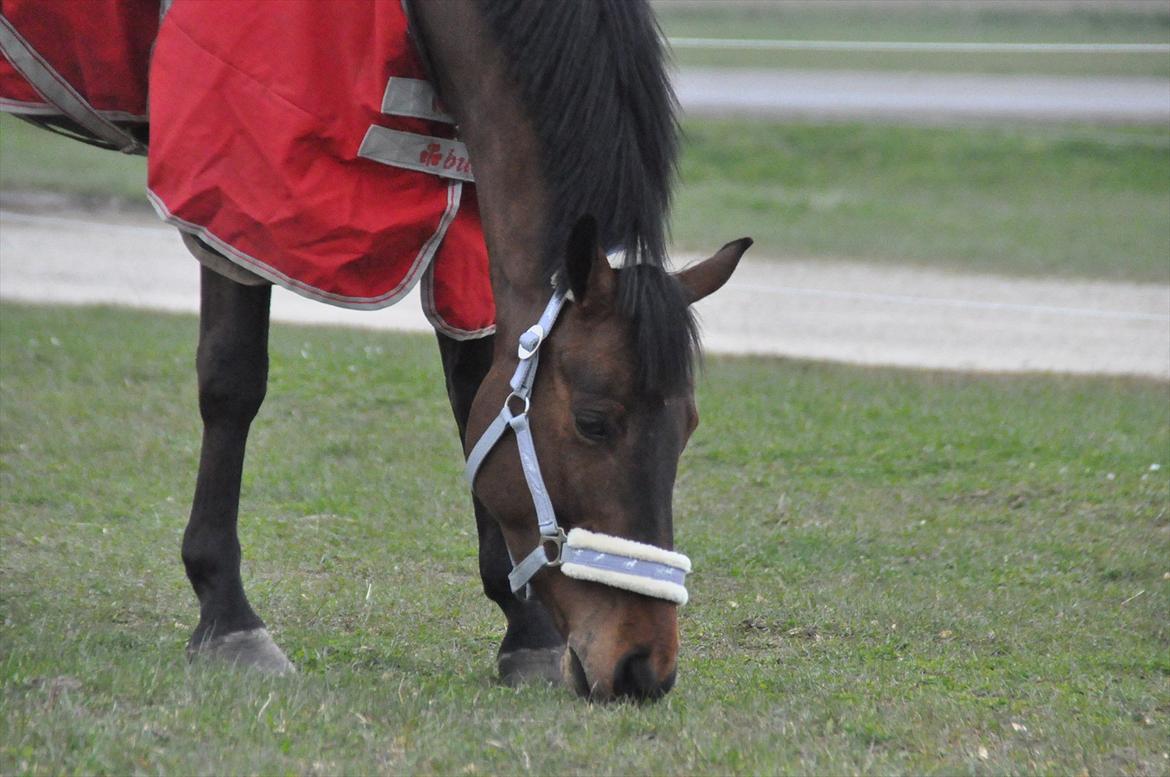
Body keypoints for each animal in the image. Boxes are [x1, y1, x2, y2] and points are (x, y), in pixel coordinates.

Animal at [0, 0, 751, 701]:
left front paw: (524, 632)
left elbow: (471, 385)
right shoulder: (237, 187)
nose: (642, 665)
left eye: (687, 427)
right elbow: (233, 381)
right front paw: (228, 616)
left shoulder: (468, 212)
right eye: (594, 422)